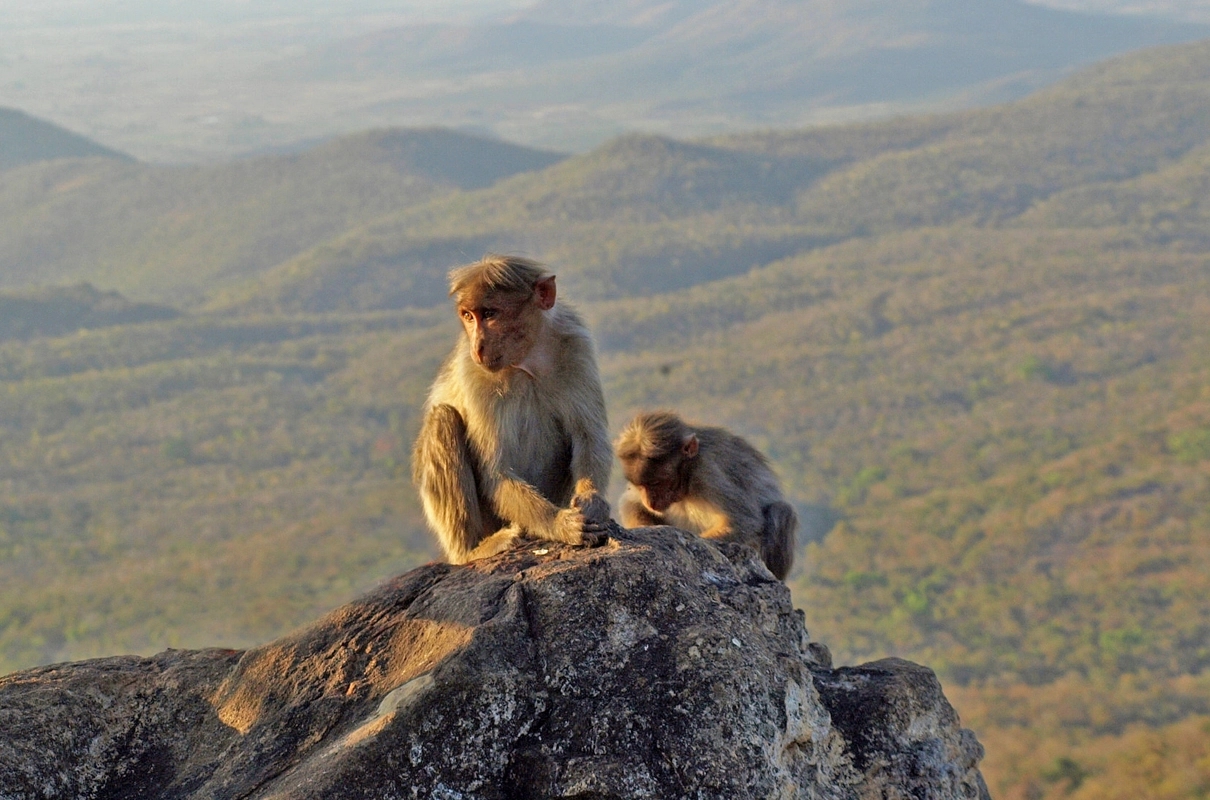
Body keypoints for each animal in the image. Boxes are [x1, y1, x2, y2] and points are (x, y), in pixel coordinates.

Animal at [413, 254, 614, 561]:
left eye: (490, 314)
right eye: (468, 316)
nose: (478, 346)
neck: (527, 361)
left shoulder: (576, 346)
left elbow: (590, 438)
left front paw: (592, 502)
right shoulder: (474, 373)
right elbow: (496, 473)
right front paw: (562, 525)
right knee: (443, 419)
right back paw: (473, 551)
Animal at [614, 411, 793, 580]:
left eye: (656, 483)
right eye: (640, 486)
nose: (650, 502)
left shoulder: (708, 471)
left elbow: (744, 522)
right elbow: (631, 503)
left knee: (781, 511)